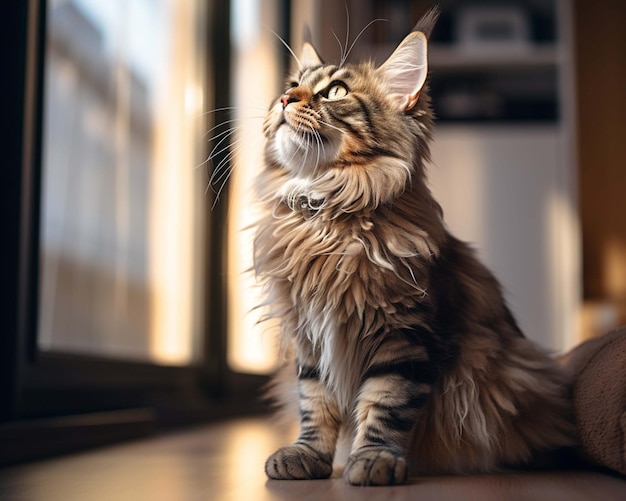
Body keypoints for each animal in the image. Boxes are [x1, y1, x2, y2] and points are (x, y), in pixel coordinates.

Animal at [251, 7, 572, 484]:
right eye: (291, 85)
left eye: (336, 91)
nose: (285, 100)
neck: (327, 212)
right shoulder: (308, 335)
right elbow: (315, 403)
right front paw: (307, 455)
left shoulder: (404, 335)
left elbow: (386, 403)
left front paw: (374, 460)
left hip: (513, 377)